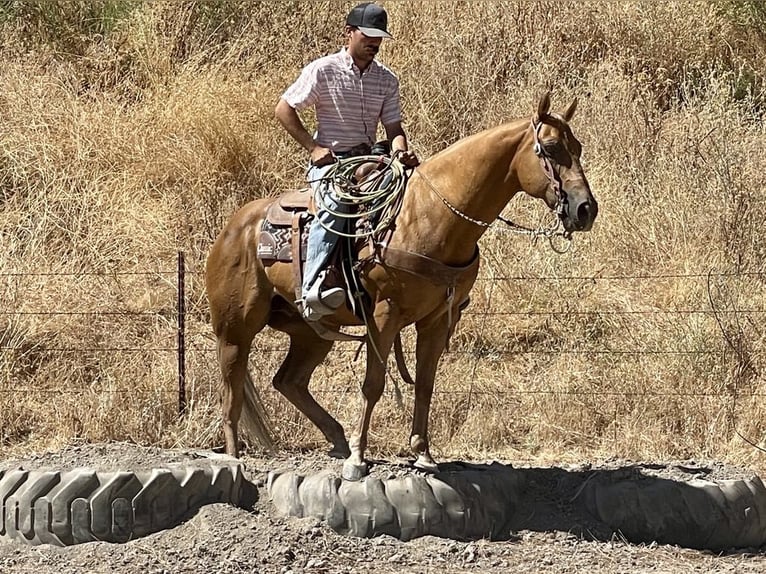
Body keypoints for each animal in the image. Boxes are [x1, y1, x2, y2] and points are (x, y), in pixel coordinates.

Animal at [205, 92, 598, 480]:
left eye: (577, 147)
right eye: (550, 148)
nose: (585, 209)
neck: (432, 215)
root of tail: (235, 226)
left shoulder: (437, 320)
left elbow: (425, 383)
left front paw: (422, 453)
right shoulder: (384, 315)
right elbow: (373, 384)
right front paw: (358, 459)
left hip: (311, 332)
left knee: (289, 381)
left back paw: (336, 438)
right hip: (235, 329)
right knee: (231, 390)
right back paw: (235, 456)